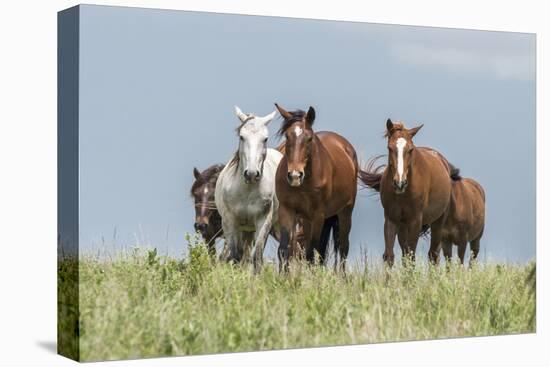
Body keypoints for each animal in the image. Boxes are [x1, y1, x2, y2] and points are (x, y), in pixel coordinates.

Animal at [217, 106, 284, 270]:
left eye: (265, 138)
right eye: (242, 137)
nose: (252, 173)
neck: (246, 192)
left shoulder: (263, 221)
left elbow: (257, 256)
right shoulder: (230, 221)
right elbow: (235, 255)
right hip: (245, 229)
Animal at [274, 104, 360, 274]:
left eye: (309, 138)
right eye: (287, 136)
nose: (295, 175)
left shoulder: (318, 215)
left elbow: (311, 252)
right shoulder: (286, 209)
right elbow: (284, 249)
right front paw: (282, 277)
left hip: (345, 212)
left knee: (343, 247)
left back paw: (342, 276)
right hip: (307, 219)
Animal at [360, 119, 460, 266]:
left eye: (411, 149)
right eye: (389, 148)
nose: (400, 183)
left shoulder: (415, 221)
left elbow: (412, 257)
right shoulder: (391, 219)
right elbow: (390, 256)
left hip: (438, 222)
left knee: (433, 255)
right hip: (403, 226)